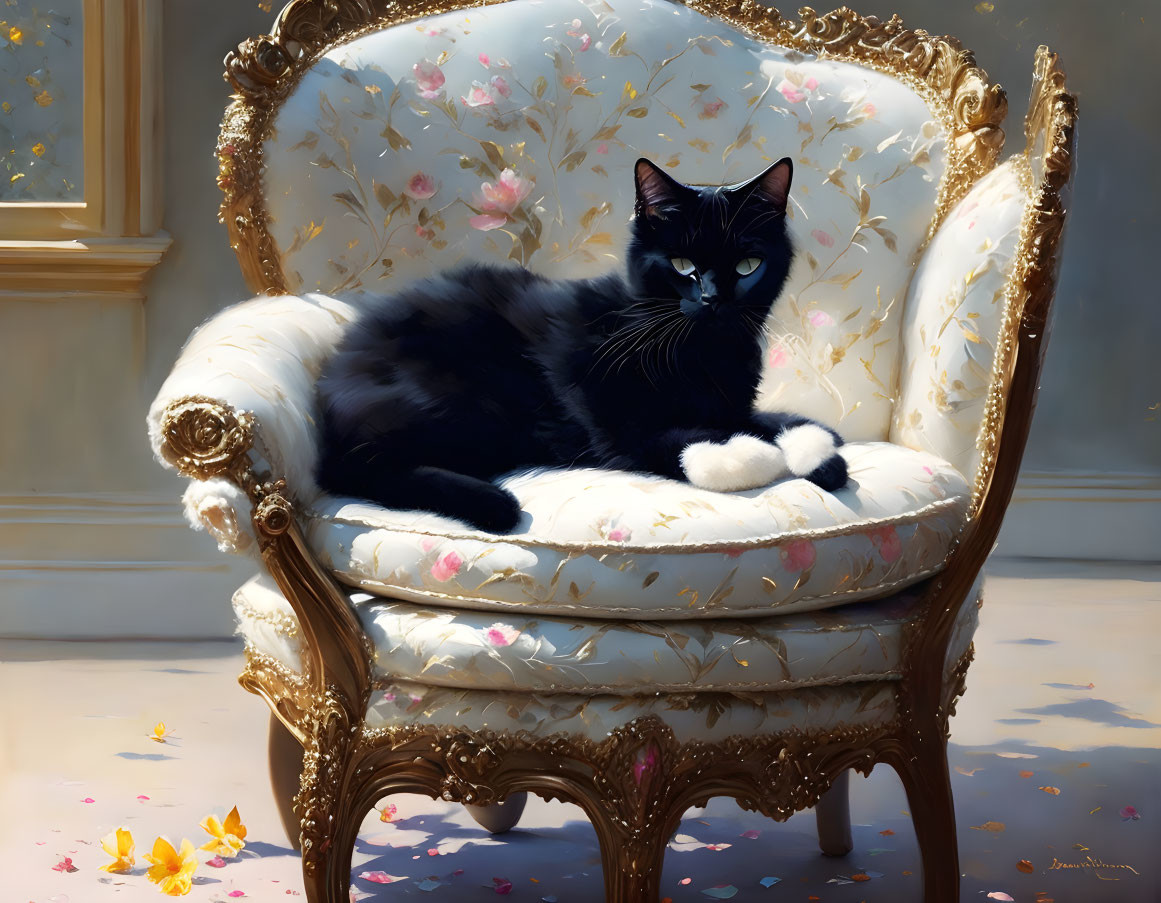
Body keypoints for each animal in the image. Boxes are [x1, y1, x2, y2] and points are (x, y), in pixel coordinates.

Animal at [315, 157, 845, 531]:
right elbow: (677, 439)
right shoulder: (611, 422)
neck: (702, 351)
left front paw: (819, 449)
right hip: (458, 402)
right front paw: (747, 455)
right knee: (348, 469)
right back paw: (493, 502)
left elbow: (765, 419)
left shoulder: (731, 404)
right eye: (681, 265)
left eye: (747, 266)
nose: (714, 300)